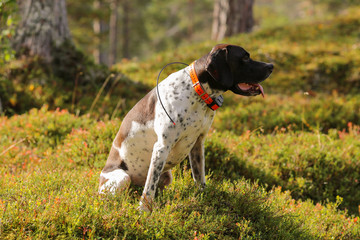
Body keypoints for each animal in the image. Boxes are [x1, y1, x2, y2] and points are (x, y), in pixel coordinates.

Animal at [98, 44, 272, 211]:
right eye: (245, 57)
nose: (271, 66)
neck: (197, 91)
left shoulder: (198, 143)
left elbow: (199, 177)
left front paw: (205, 197)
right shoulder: (162, 147)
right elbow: (149, 189)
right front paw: (143, 212)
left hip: (167, 176)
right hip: (123, 178)